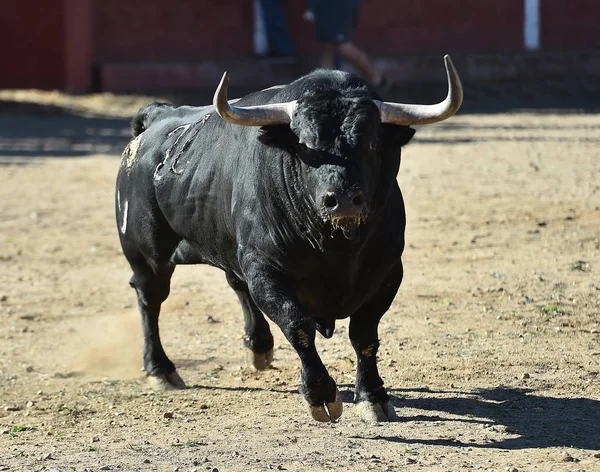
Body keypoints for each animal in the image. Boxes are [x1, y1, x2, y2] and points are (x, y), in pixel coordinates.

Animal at [117, 56, 464, 424]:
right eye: (304, 146)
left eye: (372, 143)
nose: (343, 199)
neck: (338, 246)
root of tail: (155, 118)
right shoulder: (266, 270)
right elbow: (298, 327)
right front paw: (321, 396)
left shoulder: (387, 272)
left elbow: (364, 335)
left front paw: (373, 397)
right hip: (146, 255)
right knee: (150, 300)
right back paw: (161, 370)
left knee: (235, 284)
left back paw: (258, 348)